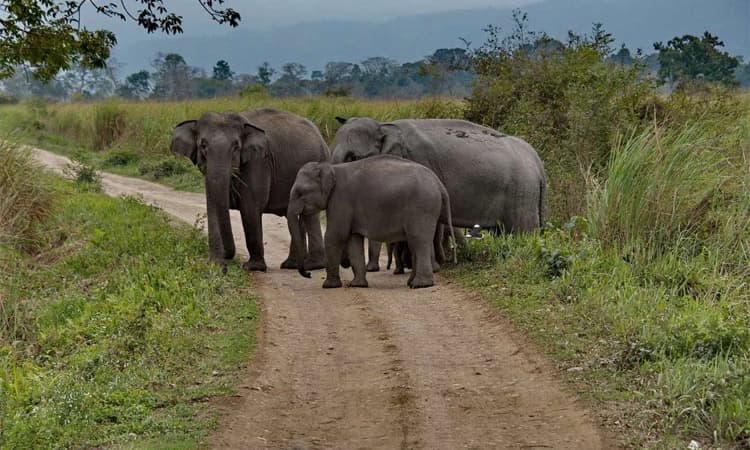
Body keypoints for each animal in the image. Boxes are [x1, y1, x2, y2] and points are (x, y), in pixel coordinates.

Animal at [171, 108, 329, 272]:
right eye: (203, 145)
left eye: (236, 147)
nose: (226, 259)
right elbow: (212, 205)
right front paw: (215, 264)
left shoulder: (258, 162)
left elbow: (249, 208)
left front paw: (253, 268)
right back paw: (293, 265)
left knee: (308, 215)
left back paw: (311, 265)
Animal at [287, 155, 456, 289]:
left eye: (301, 192)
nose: (308, 274)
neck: (331, 168)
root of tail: (440, 185)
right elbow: (353, 240)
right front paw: (357, 285)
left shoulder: (341, 200)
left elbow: (335, 236)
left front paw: (329, 286)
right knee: (415, 242)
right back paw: (411, 282)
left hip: (422, 208)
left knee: (418, 240)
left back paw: (419, 285)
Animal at [331, 117, 546, 267]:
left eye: (353, 157)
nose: (345, 264)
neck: (384, 126)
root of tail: (537, 161)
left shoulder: (420, 162)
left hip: (522, 191)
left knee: (522, 230)